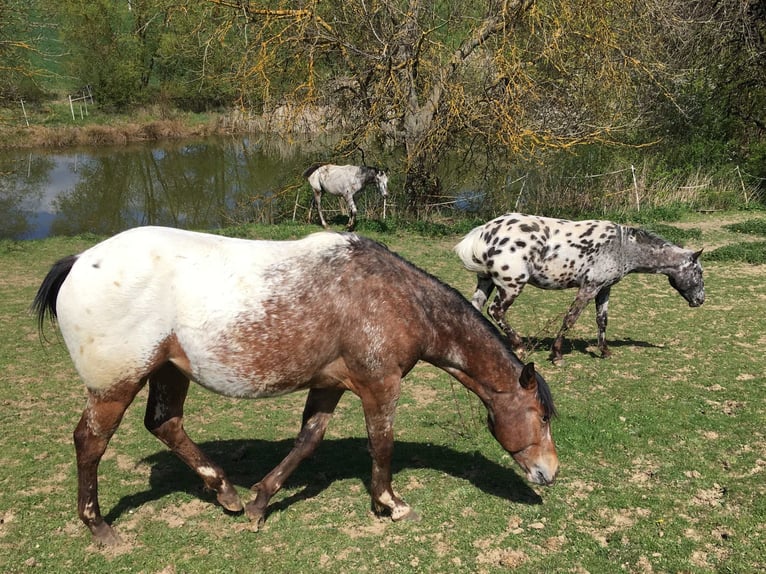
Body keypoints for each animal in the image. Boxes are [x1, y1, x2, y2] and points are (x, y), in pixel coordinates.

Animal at [32, 226, 558, 545]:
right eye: (541, 416)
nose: (549, 473)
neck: (394, 298)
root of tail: (80, 261)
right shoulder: (380, 384)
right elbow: (382, 444)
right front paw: (390, 504)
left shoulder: (331, 384)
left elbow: (308, 441)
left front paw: (260, 502)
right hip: (116, 384)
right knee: (90, 442)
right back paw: (99, 526)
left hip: (168, 371)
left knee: (165, 424)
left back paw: (225, 492)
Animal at [455, 213, 705, 364]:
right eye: (700, 272)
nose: (700, 300)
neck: (622, 246)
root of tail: (485, 231)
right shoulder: (589, 288)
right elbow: (570, 319)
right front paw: (556, 354)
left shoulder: (604, 289)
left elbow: (602, 320)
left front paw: (605, 351)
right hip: (511, 286)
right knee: (496, 311)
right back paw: (519, 347)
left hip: (486, 281)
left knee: (475, 308)